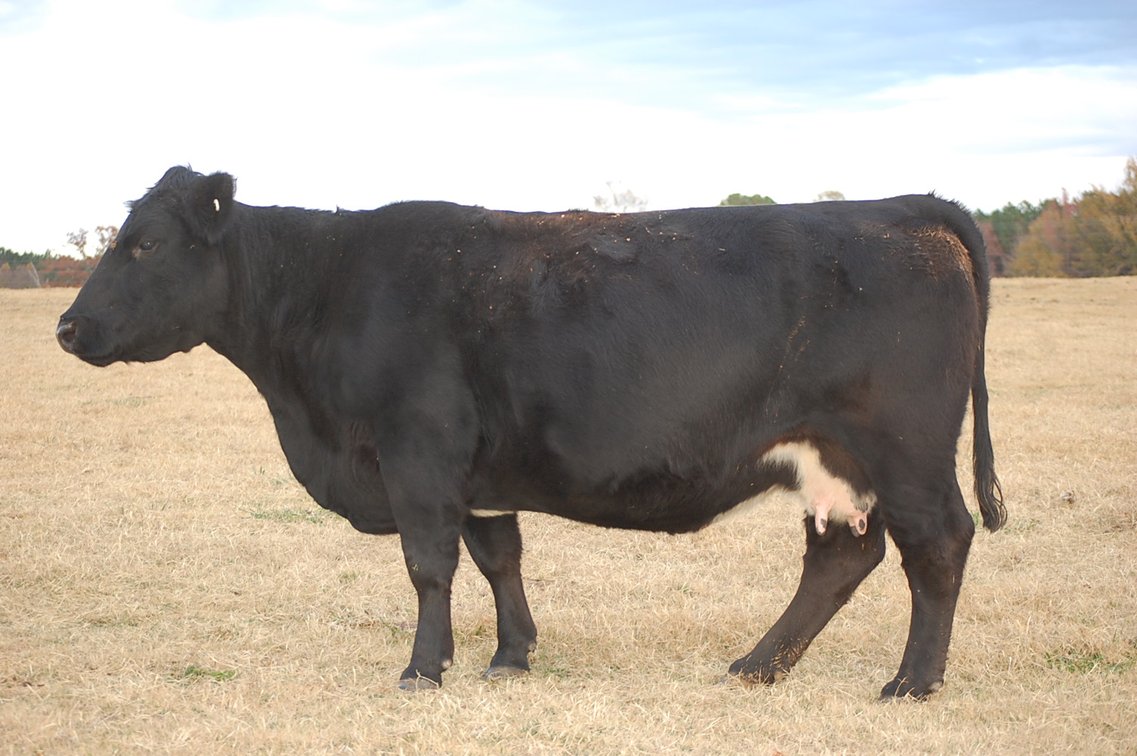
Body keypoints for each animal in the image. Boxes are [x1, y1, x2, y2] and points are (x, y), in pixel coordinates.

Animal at [57, 166, 1004, 698]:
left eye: (145, 245)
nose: (68, 327)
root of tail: (909, 206)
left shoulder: (416, 454)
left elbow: (428, 566)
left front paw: (422, 670)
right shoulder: (479, 473)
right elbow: (498, 556)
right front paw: (510, 657)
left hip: (907, 450)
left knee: (937, 545)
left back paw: (912, 681)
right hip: (831, 457)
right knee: (842, 556)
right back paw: (757, 666)